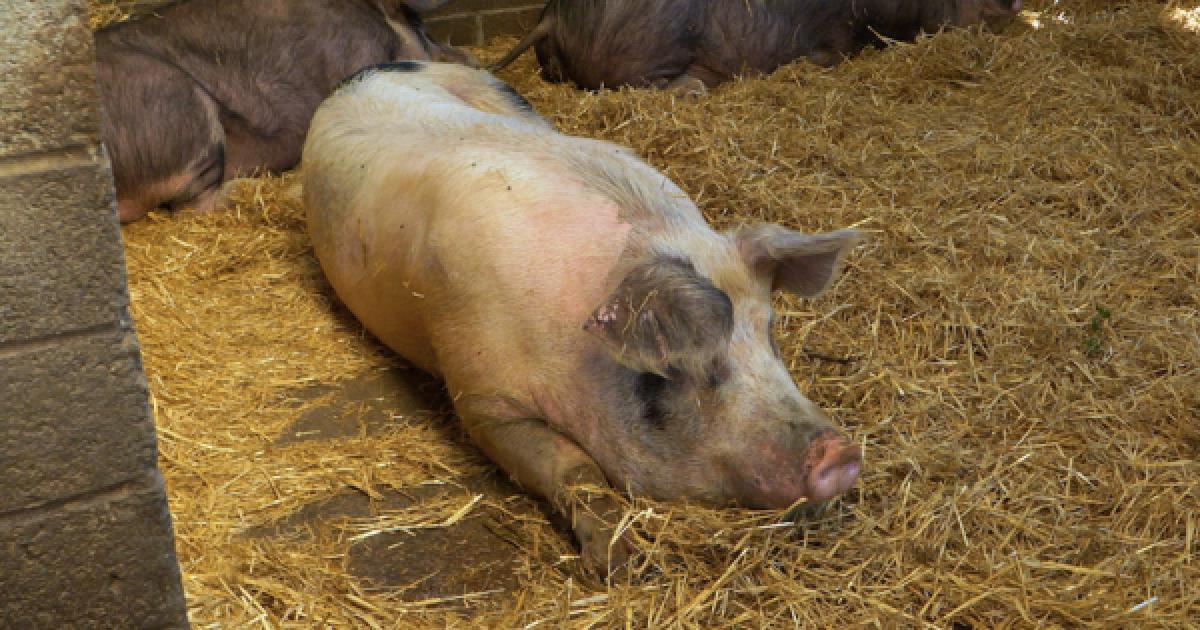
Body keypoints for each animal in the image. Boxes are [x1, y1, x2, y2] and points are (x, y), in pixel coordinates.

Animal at [302, 61, 864, 576]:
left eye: (770, 333)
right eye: (687, 366)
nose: (839, 453)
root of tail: (366, 70)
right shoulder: (480, 398)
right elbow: (572, 467)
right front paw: (623, 563)